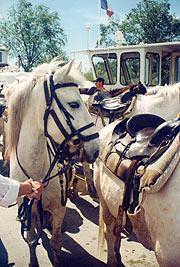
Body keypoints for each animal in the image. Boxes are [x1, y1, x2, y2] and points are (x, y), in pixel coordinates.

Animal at [5, 60, 100, 267]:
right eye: (74, 104)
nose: (96, 148)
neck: (37, 171)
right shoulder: (28, 208)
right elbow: (31, 239)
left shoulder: (59, 210)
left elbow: (56, 243)